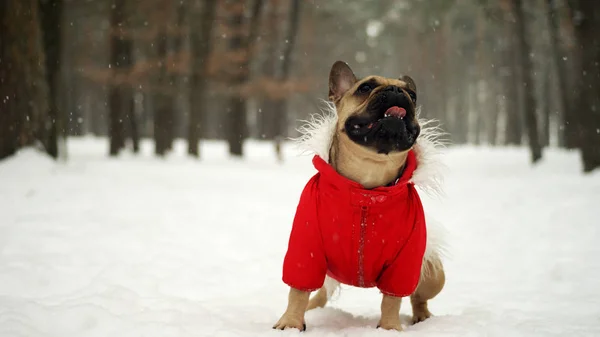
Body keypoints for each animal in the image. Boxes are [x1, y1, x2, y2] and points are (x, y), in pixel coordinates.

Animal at [274, 60, 446, 330]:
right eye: (365, 88)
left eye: (413, 95)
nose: (397, 92)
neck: (368, 183)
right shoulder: (306, 248)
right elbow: (298, 290)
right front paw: (290, 323)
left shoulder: (405, 260)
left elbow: (392, 299)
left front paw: (389, 328)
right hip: (328, 276)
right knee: (320, 294)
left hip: (432, 275)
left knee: (418, 297)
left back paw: (422, 317)